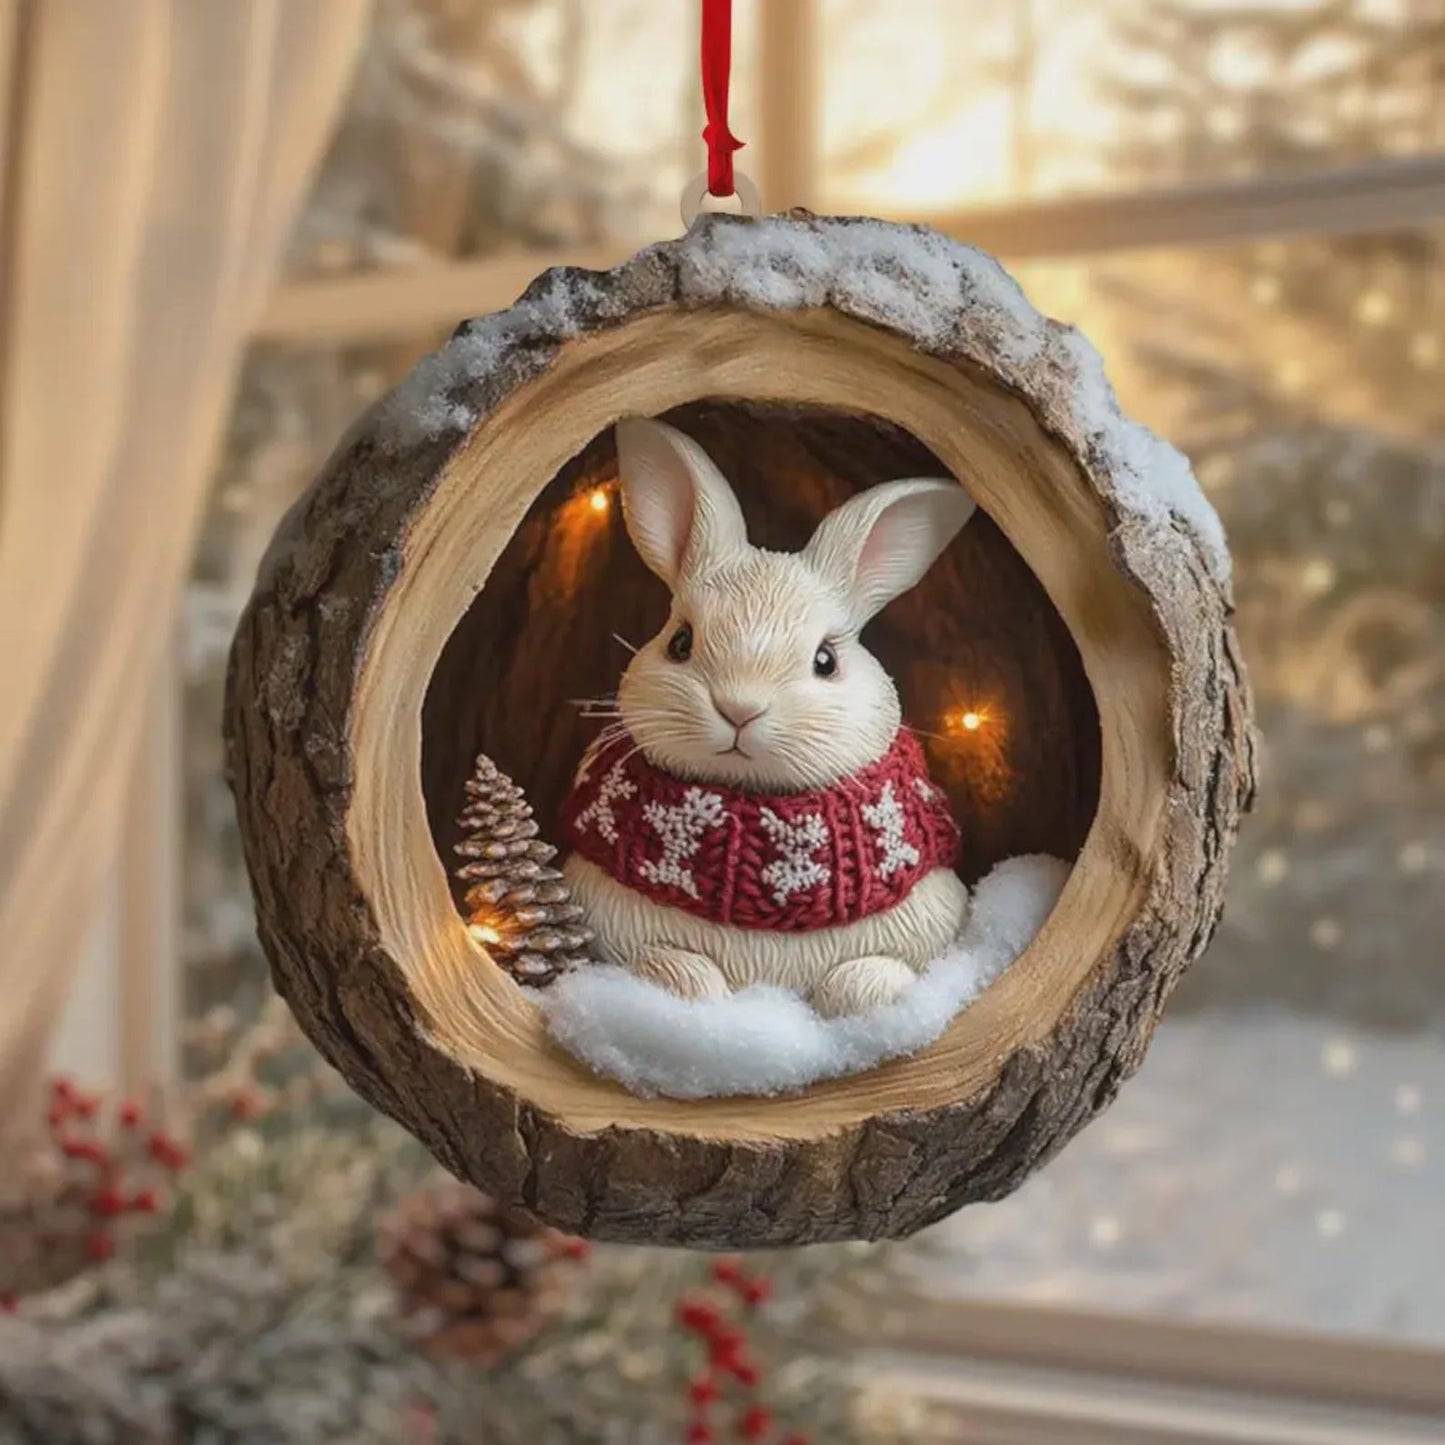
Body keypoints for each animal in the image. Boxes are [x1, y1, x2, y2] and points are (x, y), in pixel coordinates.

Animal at [560, 416, 976, 1018]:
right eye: (680, 642)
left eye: (826, 661)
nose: (739, 708)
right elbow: (674, 970)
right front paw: (703, 995)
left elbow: (868, 980)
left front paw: (852, 995)